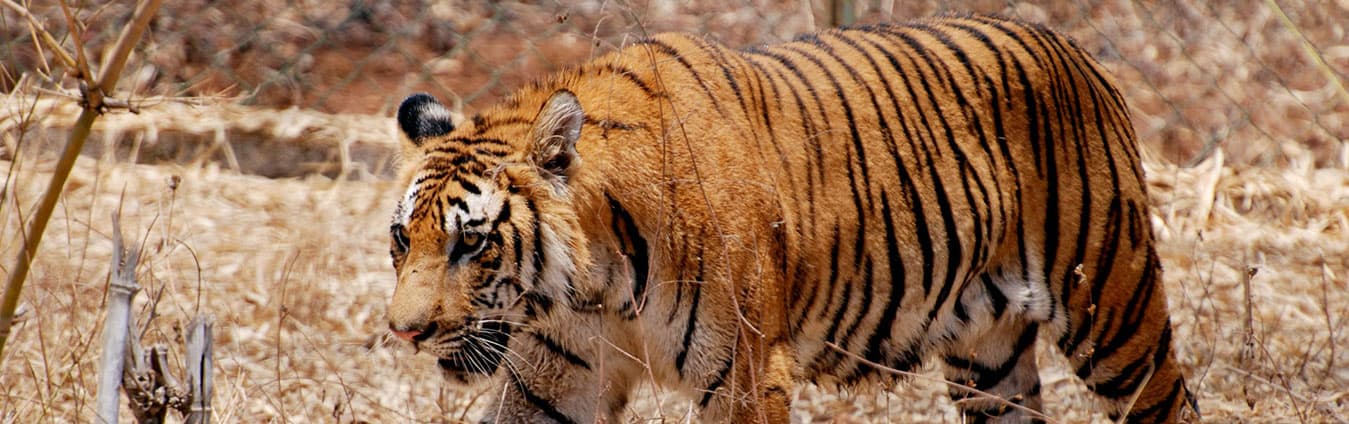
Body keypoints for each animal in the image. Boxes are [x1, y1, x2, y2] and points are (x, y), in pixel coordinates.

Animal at [383, 14, 1198, 423]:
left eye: (472, 243)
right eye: (401, 239)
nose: (404, 333)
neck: (594, 285)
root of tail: (1073, 49)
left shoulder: (744, 374)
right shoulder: (550, 381)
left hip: (1114, 312)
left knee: (1169, 402)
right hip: (987, 357)